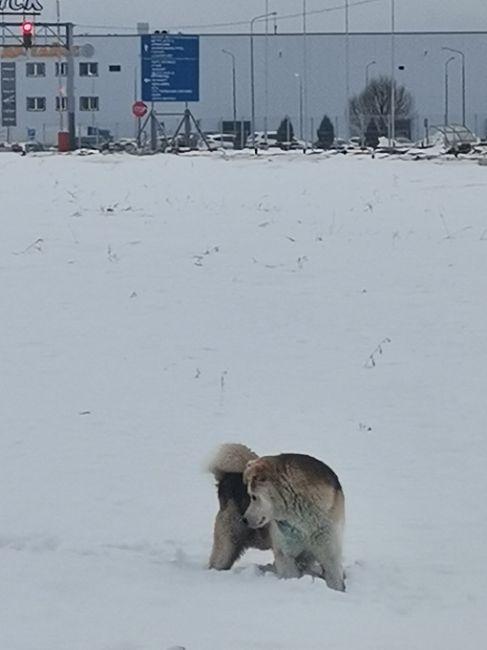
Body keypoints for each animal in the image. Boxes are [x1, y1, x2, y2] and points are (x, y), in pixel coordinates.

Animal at [243, 454, 344, 588]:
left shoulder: (329, 551)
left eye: (253, 496)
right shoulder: (285, 551)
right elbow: (289, 573)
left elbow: (334, 578)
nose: (244, 519)